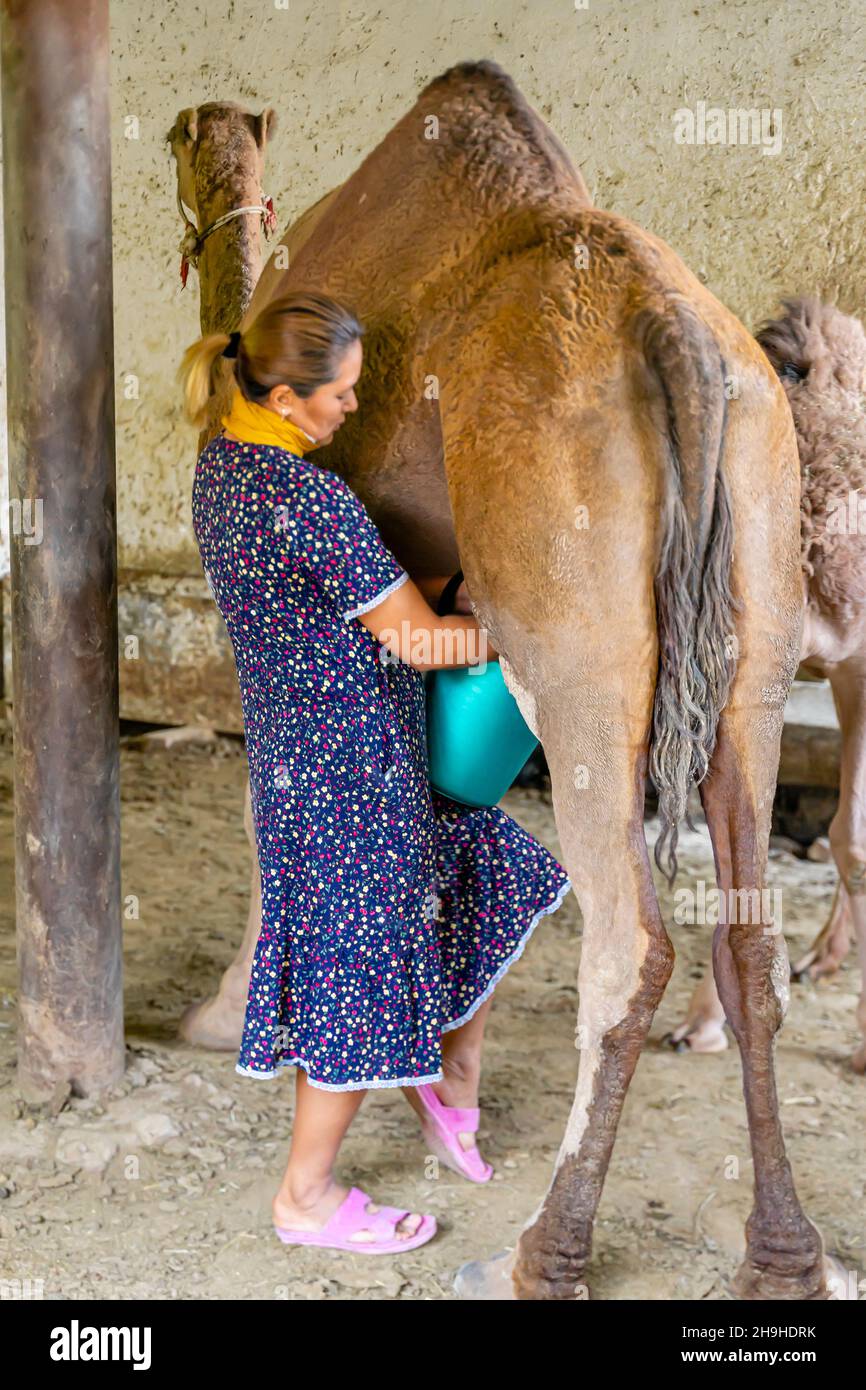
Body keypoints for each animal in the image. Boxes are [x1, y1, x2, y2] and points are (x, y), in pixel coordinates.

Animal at [169, 59, 834, 1295]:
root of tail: (673, 330)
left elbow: (260, 800)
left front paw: (224, 1015)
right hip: (759, 610)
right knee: (746, 940)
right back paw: (782, 1253)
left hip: (578, 643)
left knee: (628, 943)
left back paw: (544, 1249)